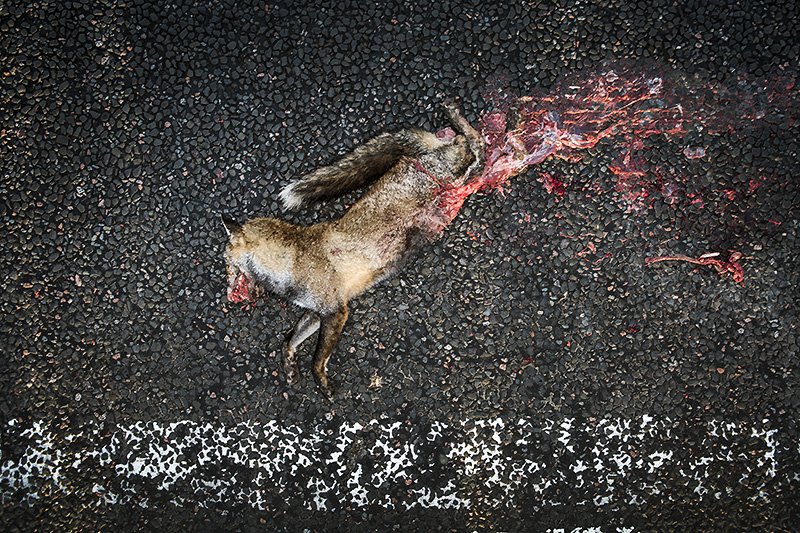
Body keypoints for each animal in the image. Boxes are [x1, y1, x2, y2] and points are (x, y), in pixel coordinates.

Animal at [223, 102, 486, 399]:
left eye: (226, 264)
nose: (226, 294)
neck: (291, 263)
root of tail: (424, 151)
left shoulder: (337, 311)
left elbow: (317, 359)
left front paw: (322, 384)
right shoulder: (318, 311)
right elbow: (288, 340)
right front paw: (290, 370)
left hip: (460, 171)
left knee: (475, 142)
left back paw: (455, 114)